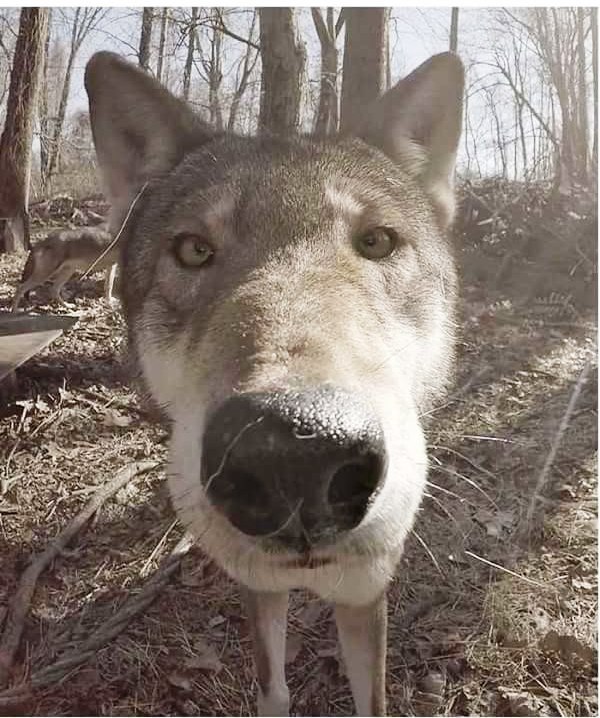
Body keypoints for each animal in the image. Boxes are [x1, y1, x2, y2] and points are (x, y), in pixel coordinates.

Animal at [85, 50, 463, 716]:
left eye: (377, 242)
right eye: (193, 250)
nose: (293, 453)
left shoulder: (365, 594)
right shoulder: (257, 587)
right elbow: (273, 687)